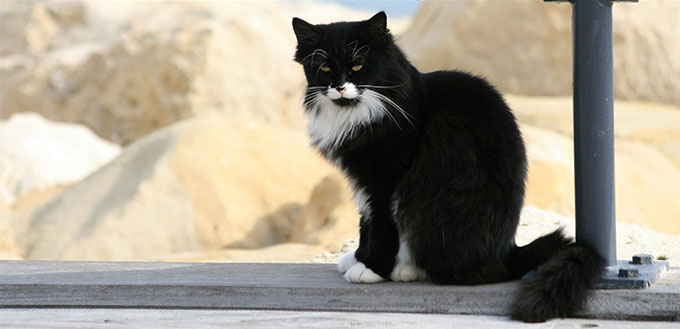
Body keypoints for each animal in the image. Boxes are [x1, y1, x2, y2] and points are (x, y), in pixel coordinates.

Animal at [290, 12, 604, 320]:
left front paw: (371, 268)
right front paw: (358, 257)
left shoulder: (386, 178)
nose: (340, 87)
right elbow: (365, 221)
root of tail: (508, 253)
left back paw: (404, 269)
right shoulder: (363, 181)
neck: (359, 112)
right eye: (325, 68)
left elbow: (380, 225)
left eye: (357, 65)